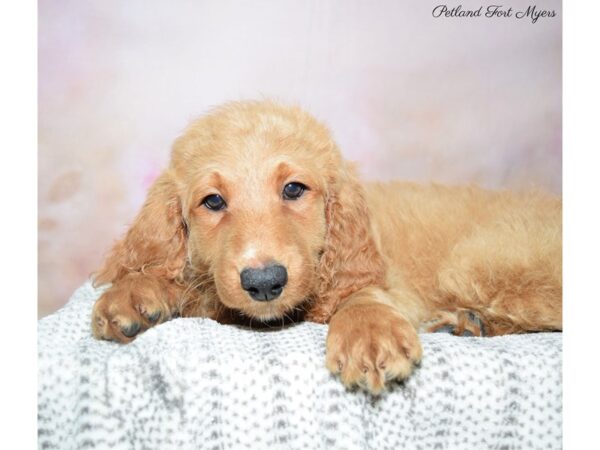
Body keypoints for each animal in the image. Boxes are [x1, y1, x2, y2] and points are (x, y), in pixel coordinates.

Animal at [91, 99, 560, 394]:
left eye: (294, 189)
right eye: (213, 201)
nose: (265, 282)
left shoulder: (383, 282)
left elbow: (361, 294)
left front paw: (368, 331)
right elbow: (192, 289)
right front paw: (136, 293)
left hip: (473, 262)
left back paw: (467, 322)